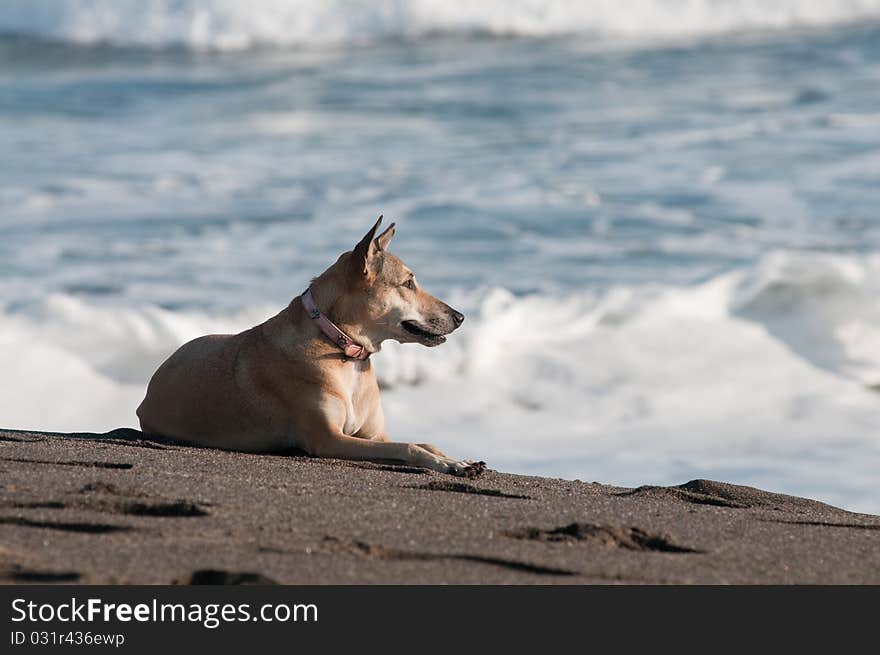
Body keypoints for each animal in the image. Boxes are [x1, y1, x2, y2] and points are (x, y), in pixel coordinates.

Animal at [136, 218, 488, 480]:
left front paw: (459, 461)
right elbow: (407, 447)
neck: (343, 348)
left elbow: (422, 441)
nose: (460, 317)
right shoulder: (329, 438)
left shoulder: (375, 436)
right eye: (409, 284)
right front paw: (448, 464)